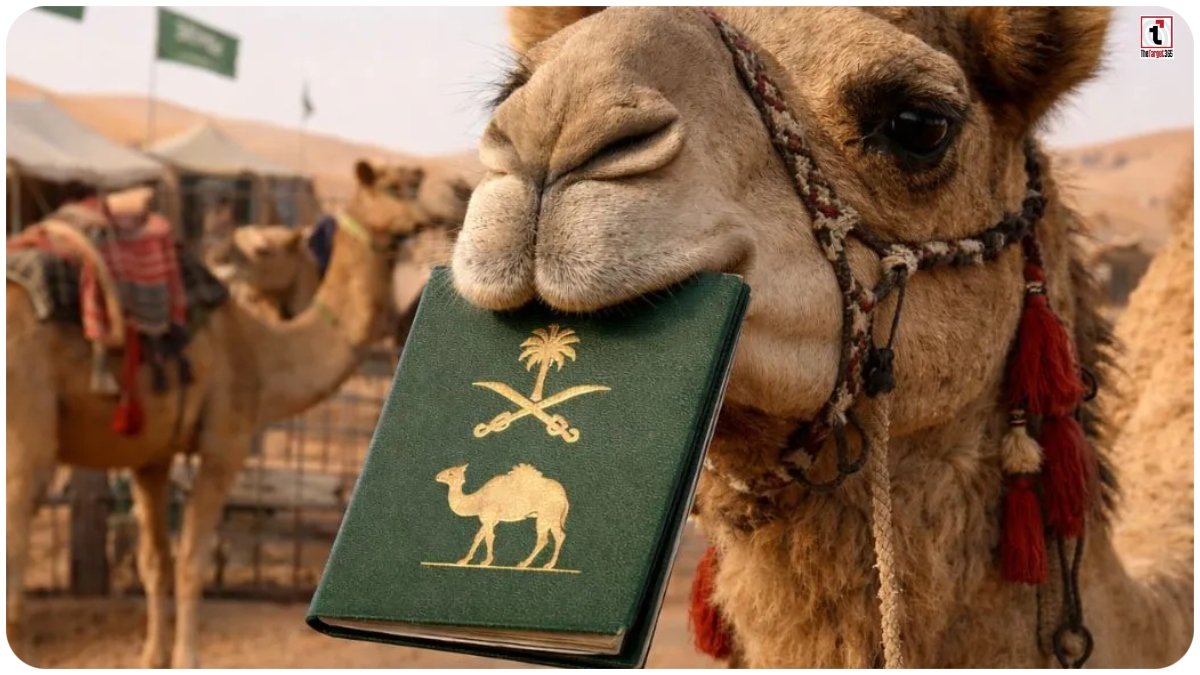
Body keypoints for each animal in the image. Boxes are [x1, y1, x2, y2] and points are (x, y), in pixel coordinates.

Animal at [6, 159, 437, 668]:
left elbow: (156, 562)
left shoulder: (151, 456)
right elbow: (192, 562)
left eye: (413, 184)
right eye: (391, 186)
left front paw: (152, 657)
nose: (425, 218)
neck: (260, 350)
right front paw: (187, 658)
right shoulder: (223, 447)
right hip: (26, 427)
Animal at [435, 463, 569, 569]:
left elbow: (489, 537)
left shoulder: (488, 517)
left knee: (544, 539)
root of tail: (565, 498)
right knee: (559, 536)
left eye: (451, 473)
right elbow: (478, 537)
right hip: (551, 517)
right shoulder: (490, 520)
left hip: (546, 516)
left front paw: (486, 562)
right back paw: (548, 565)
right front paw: (464, 561)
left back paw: (526, 564)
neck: (477, 501)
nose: (437, 476)